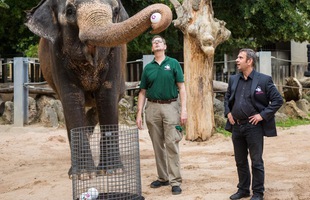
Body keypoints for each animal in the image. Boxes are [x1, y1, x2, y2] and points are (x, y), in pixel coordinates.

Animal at [25, 0, 172, 179]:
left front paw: (112, 171)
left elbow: (107, 96)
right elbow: (71, 98)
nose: (154, 23)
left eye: (115, 11)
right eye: (69, 11)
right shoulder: (56, 55)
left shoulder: (115, 54)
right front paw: (84, 175)